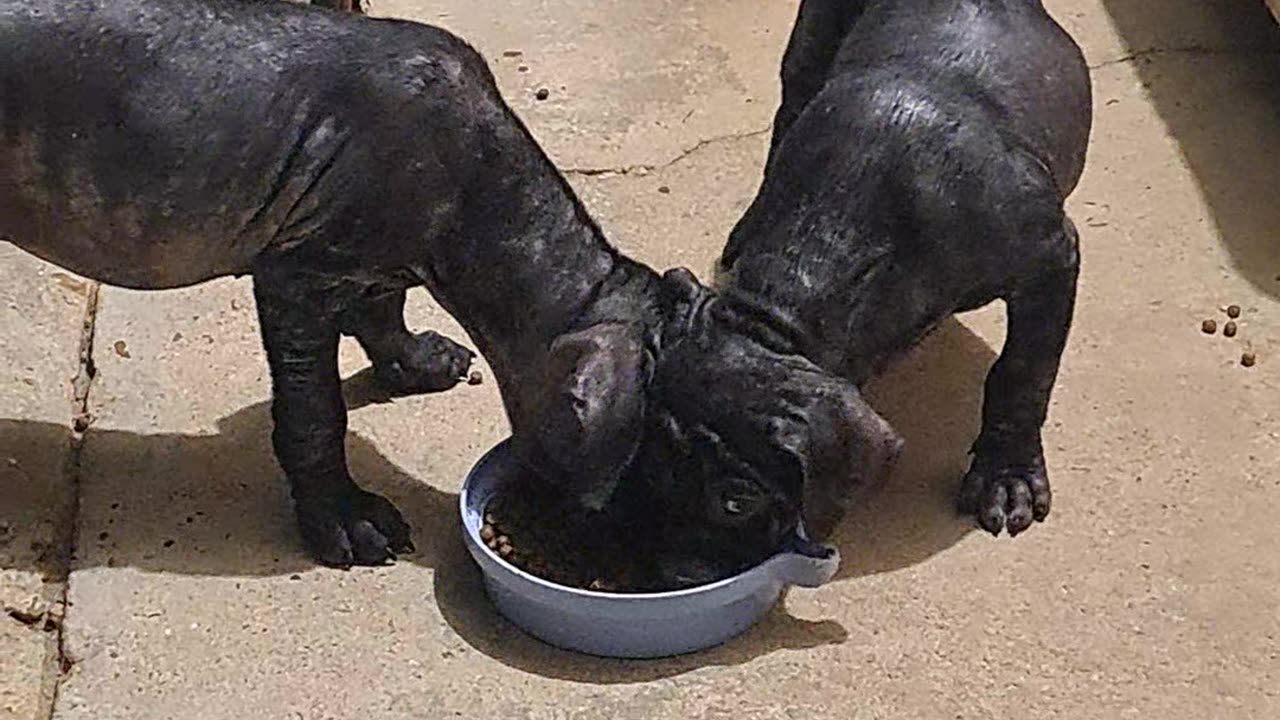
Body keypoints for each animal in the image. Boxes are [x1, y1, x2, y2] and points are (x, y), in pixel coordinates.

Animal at [2, 0, 670, 566]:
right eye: (672, 466)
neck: (481, 195)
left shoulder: (378, 259)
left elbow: (385, 308)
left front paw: (417, 361)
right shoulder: (296, 280)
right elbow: (316, 412)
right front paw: (345, 519)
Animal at [624, 0, 1085, 576]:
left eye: (737, 501)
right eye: (651, 474)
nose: (673, 574)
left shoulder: (1051, 258)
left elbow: (1023, 372)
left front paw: (1006, 476)